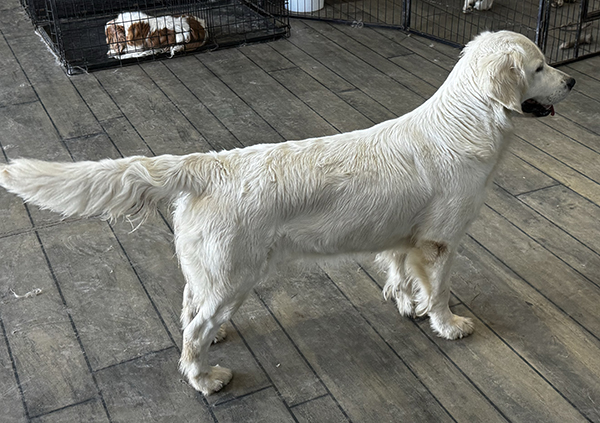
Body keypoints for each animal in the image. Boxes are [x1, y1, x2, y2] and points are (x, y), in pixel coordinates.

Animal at [0, 31, 576, 396]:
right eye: (540, 66)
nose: (572, 83)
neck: (464, 122)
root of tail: (206, 165)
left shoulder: (405, 238)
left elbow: (400, 274)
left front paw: (406, 304)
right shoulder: (440, 241)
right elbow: (439, 289)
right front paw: (447, 323)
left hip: (210, 270)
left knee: (188, 303)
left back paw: (213, 343)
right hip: (232, 276)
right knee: (191, 332)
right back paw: (205, 378)